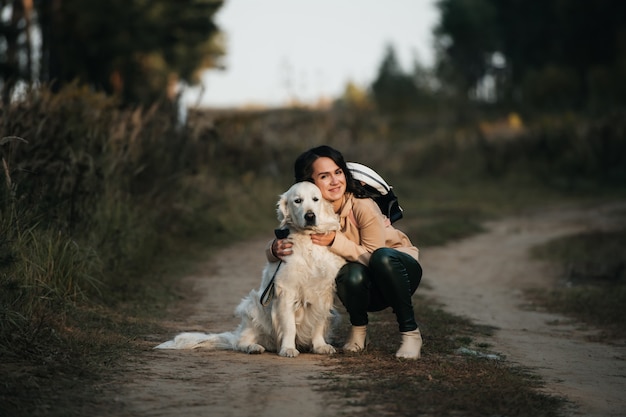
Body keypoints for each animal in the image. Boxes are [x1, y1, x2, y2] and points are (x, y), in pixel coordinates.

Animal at [154, 180, 344, 356]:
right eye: (297, 201)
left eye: (315, 199)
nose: (310, 216)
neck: (307, 240)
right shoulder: (286, 291)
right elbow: (289, 326)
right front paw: (288, 349)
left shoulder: (323, 291)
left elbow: (318, 322)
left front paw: (320, 346)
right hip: (253, 307)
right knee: (240, 342)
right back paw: (253, 347)